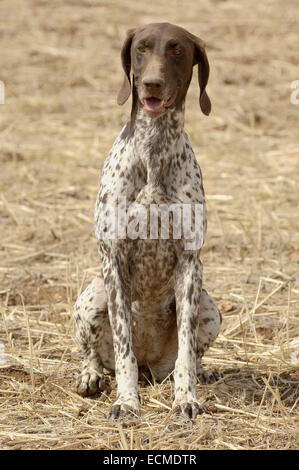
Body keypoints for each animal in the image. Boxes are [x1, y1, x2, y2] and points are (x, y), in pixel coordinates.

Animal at [73, 22, 221, 420]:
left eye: (176, 49)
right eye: (141, 48)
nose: (152, 83)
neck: (154, 149)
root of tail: (150, 365)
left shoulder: (190, 264)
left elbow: (186, 353)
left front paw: (186, 398)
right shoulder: (112, 260)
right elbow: (124, 349)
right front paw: (126, 401)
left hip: (208, 305)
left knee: (191, 356)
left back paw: (200, 372)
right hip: (93, 295)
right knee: (96, 355)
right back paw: (91, 376)